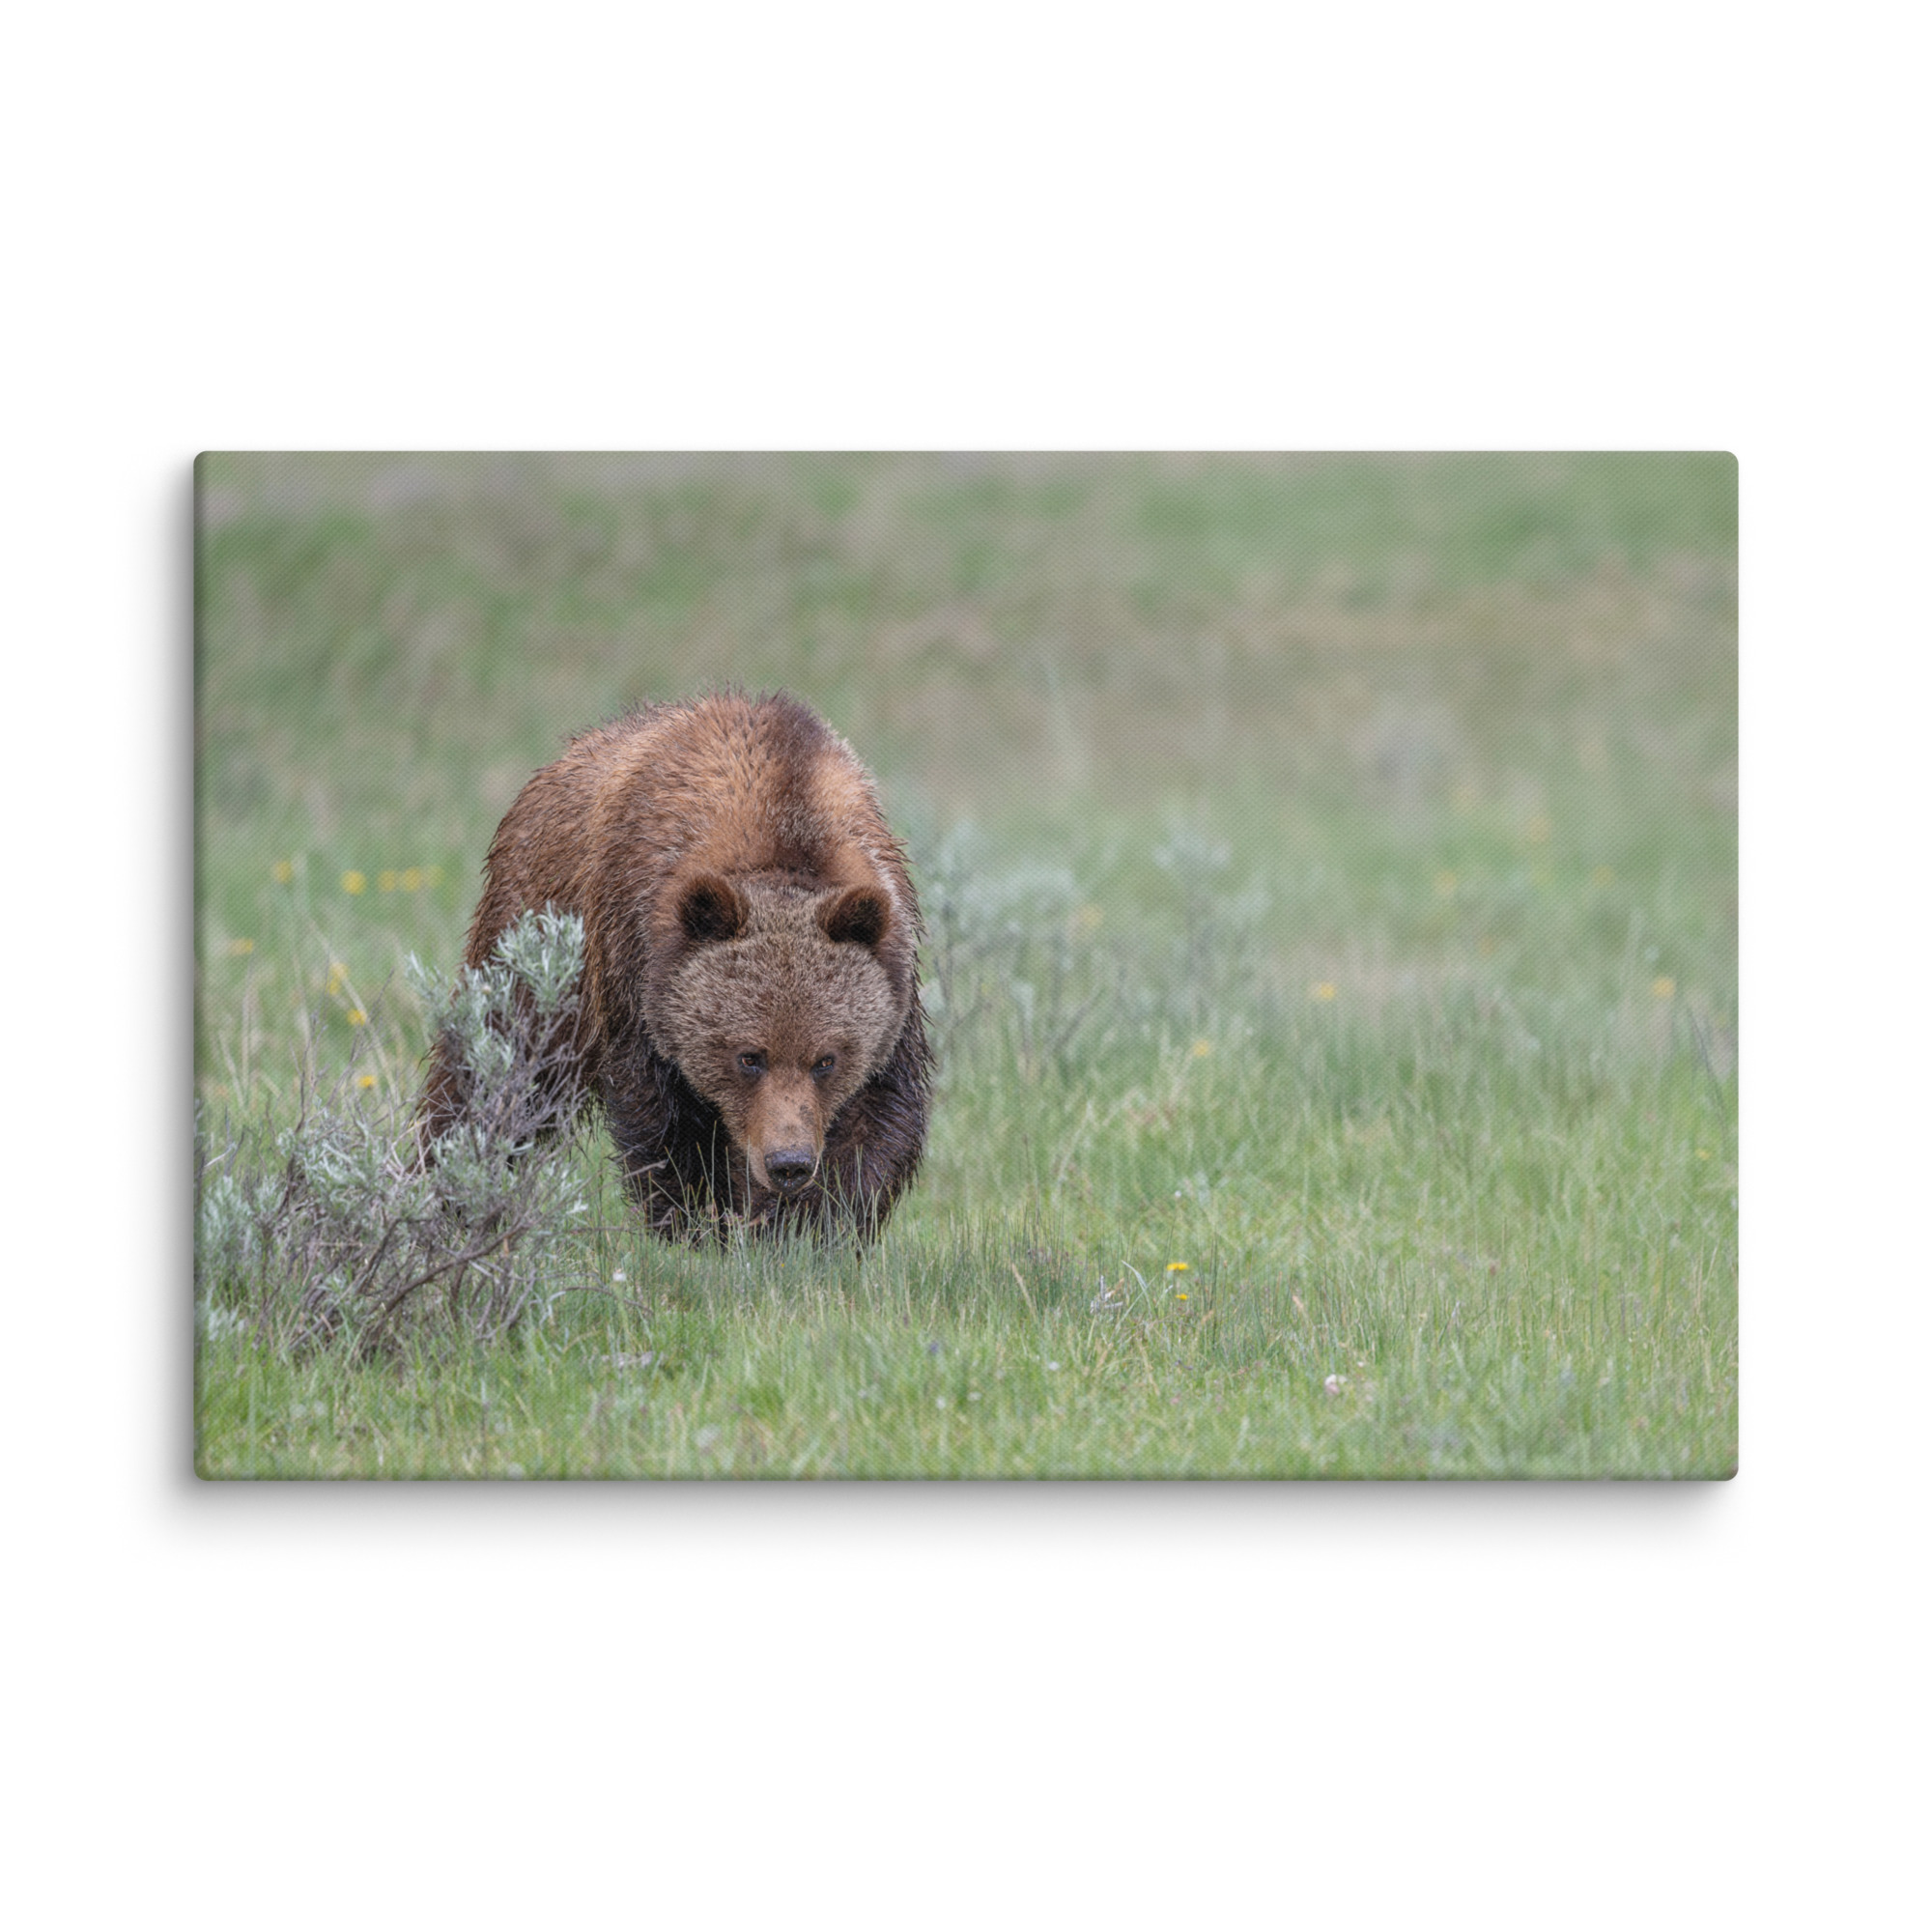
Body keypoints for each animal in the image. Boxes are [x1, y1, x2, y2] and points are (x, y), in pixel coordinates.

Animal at [419, 690, 933, 1242]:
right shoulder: (636, 967)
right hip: (535, 936)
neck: (784, 824)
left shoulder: (893, 981)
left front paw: (808, 1228)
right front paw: (698, 1224)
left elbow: (876, 1121)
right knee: (496, 1067)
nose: (788, 1163)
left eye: (826, 1059)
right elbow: (665, 1124)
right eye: (748, 1056)